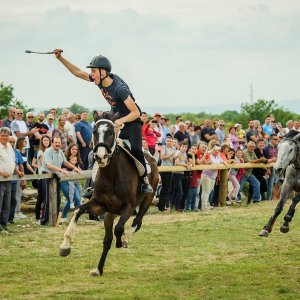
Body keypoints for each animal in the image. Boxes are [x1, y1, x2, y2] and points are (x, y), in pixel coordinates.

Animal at [59, 116, 161, 276]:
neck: (112, 174)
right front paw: (65, 247)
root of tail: (151, 157)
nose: (100, 156)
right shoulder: (99, 205)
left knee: (137, 222)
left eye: (111, 132)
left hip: (147, 200)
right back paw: (99, 269)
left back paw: (125, 239)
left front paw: (120, 242)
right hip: (109, 213)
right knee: (107, 240)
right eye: (94, 132)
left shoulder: (128, 207)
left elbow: (119, 229)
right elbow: (78, 211)